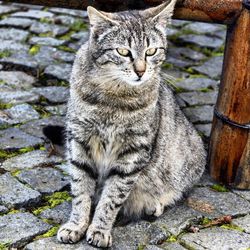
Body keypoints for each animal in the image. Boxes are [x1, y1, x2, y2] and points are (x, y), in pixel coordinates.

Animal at [55, 0, 206, 246]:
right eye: (123, 52)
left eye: (151, 51)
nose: (141, 71)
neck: (114, 98)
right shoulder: (79, 142)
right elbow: (80, 189)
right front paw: (76, 225)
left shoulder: (133, 153)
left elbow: (112, 197)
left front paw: (99, 230)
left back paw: (154, 204)